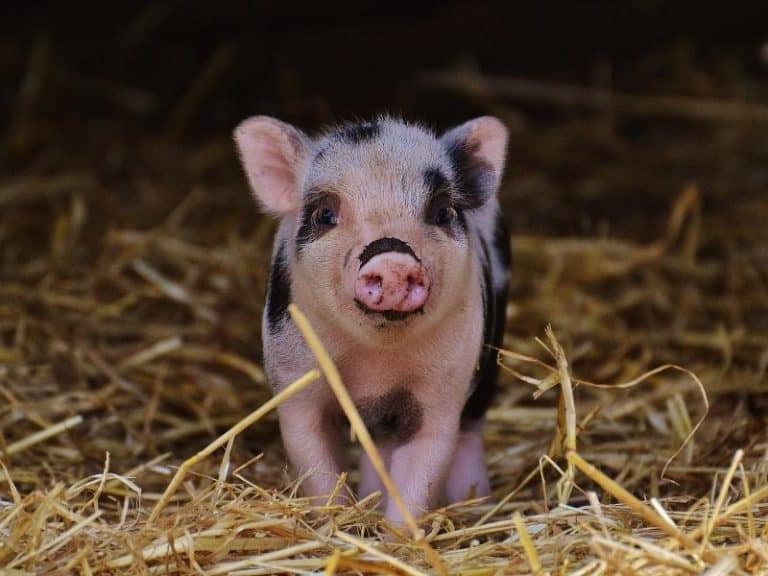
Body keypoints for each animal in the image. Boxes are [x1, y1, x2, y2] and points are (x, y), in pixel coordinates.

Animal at [233, 115, 510, 523]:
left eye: (442, 212)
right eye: (325, 214)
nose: (393, 259)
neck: (376, 366)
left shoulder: (442, 390)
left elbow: (423, 468)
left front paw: (395, 534)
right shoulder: (295, 382)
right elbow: (315, 462)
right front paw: (336, 522)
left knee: (470, 429)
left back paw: (475, 504)